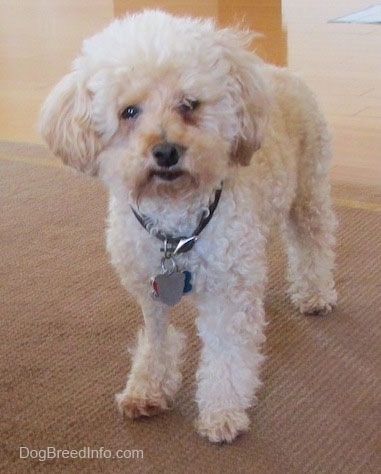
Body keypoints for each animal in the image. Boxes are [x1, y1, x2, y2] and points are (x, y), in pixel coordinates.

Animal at [39, 10, 336, 444]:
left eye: (189, 104)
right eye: (129, 111)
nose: (166, 151)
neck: (174, 225)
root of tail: (279, 72)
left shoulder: (226, 292)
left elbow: (227, 355)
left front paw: (222, 412)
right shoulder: (149, 288)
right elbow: (157, 340)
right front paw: (147, 389)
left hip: (308, 190)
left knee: (313, 241)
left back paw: (315, 293)